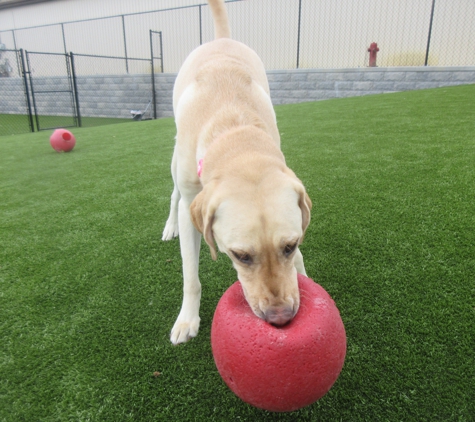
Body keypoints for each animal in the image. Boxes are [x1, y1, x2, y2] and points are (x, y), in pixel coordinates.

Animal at [164, 0, 312, 344]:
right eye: (240, 255)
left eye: (290, 245)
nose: (280, 318)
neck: (234, 129)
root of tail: (221, 39)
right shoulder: (191, 205)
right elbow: (190, 275)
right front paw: (187, 320)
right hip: (176, 163)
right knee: (174, 195)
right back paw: (168, 226)